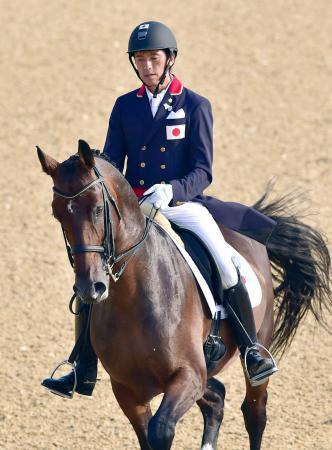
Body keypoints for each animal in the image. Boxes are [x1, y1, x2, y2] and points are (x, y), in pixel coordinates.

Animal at [37, 142, 330, 450]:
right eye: (57, 214)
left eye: (96, 208)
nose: (90, 288)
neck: (132, 297)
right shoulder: (127, 391)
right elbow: (148, 436)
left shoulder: (188, 376)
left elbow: (161, 429)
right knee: (217, 398)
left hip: (256, 351)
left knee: (254, 412)